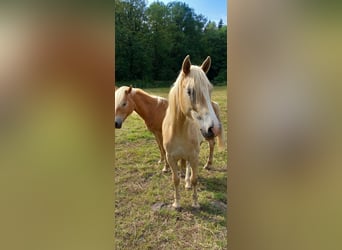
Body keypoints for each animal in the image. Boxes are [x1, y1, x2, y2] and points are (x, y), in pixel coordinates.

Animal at [163, 55, 222, 209]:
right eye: (190, 91)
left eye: (210, 90)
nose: (214, 128)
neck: (178, 130)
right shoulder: (171, 158)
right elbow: (176, 179)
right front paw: (177, 203)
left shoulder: (194, 156)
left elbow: (195, 179)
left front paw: (195, 203)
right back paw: (187, 183)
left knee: (211, 145)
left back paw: (208, 164)